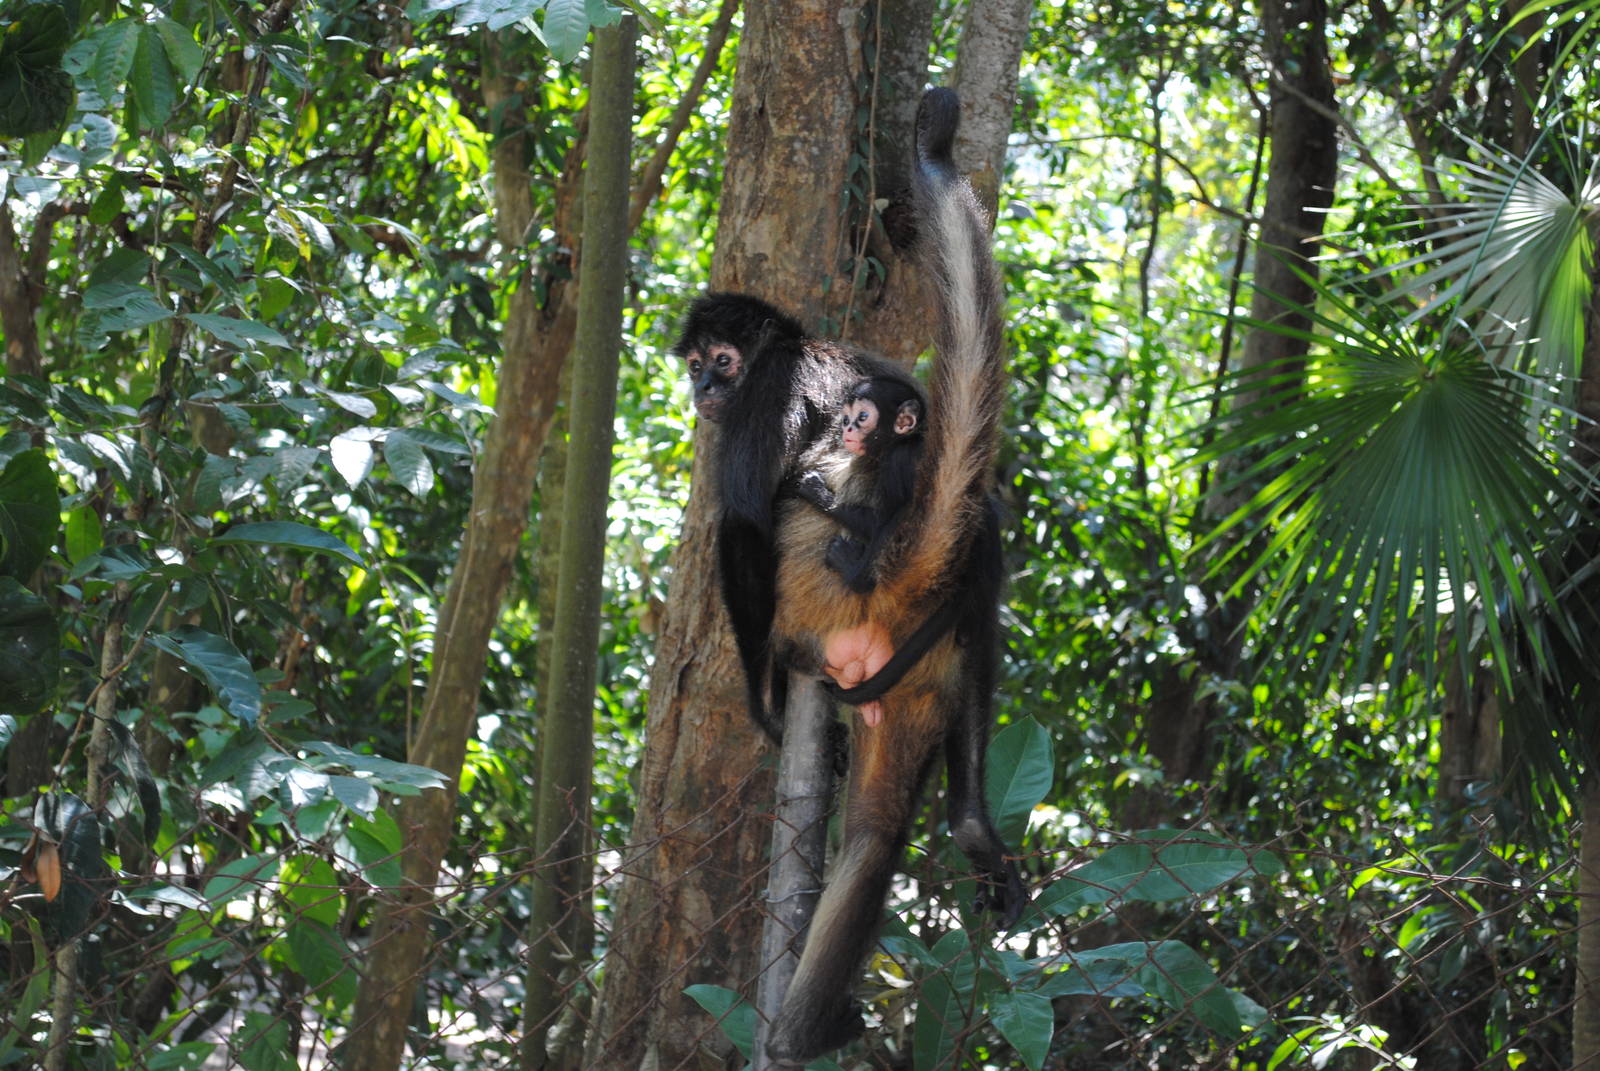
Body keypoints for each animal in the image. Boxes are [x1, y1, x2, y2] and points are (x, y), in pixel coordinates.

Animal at [676, 87, 1024, 1065]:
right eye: (696, 363)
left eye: (722, 363)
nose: (701, 390)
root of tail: (888, 573)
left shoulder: (766, 394)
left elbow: (743, 521)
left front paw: (761, 705)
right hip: (920, 664)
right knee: (876, 834)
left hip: (817, 590)